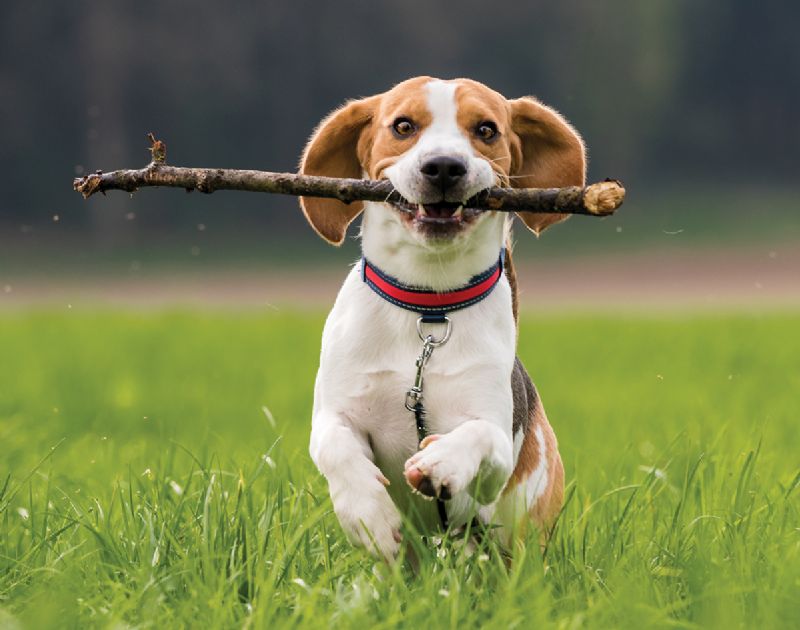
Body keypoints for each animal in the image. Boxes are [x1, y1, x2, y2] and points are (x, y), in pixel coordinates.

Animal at [296, 76, 584, 560]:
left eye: (486, 130)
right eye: (403, 126)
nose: (445, 166)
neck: (428, 310)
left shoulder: (495, 448)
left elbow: (479, 436)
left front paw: (440, 461)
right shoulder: (335, 412)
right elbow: (335, 446)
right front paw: (369, 516)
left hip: (520, 533)